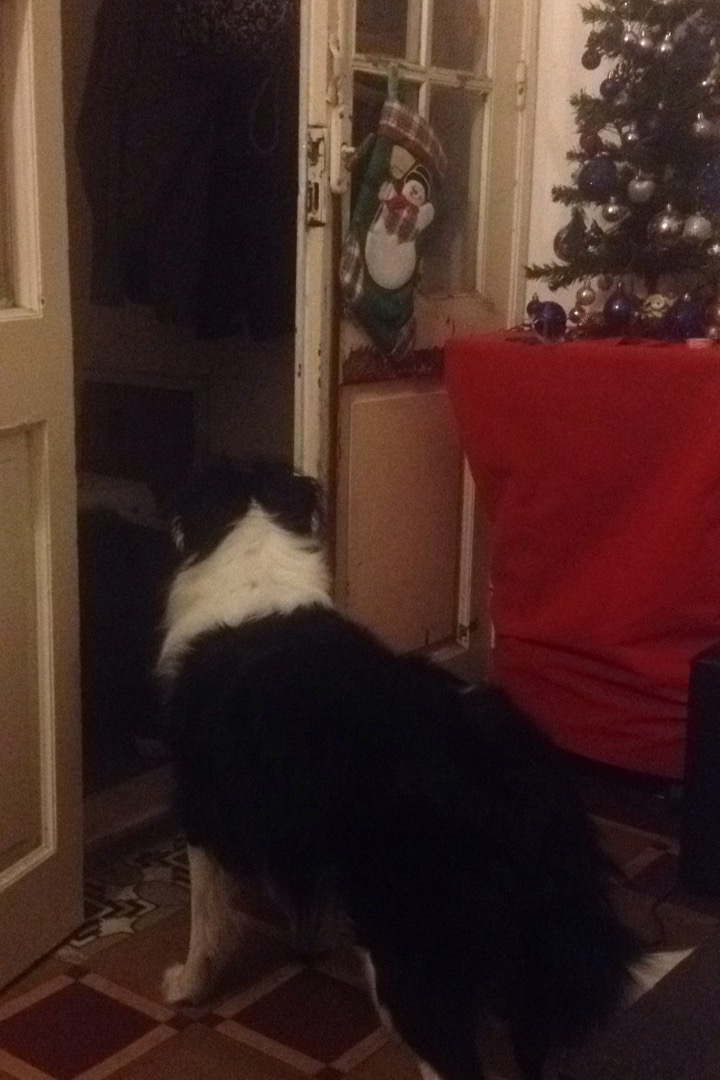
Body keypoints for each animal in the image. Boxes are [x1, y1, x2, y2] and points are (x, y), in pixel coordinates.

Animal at [156, 458, 640, 1080]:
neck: (255, 560)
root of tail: (517, 781)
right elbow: (302, 892)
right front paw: (308, 940)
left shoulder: (202, 809)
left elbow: (207, 923)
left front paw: (187, 987)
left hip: (410, 948)